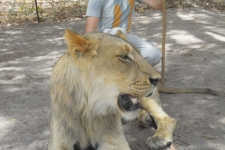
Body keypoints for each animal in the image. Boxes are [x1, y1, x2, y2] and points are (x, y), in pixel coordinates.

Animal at [48, 29, 178, 150]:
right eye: (124, 57)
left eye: (139, 54)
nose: (157, 79)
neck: (88, 109)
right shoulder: (59, 141)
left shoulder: (115, 139)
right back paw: (144, 118)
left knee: (168, 119)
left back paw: (159, 137)